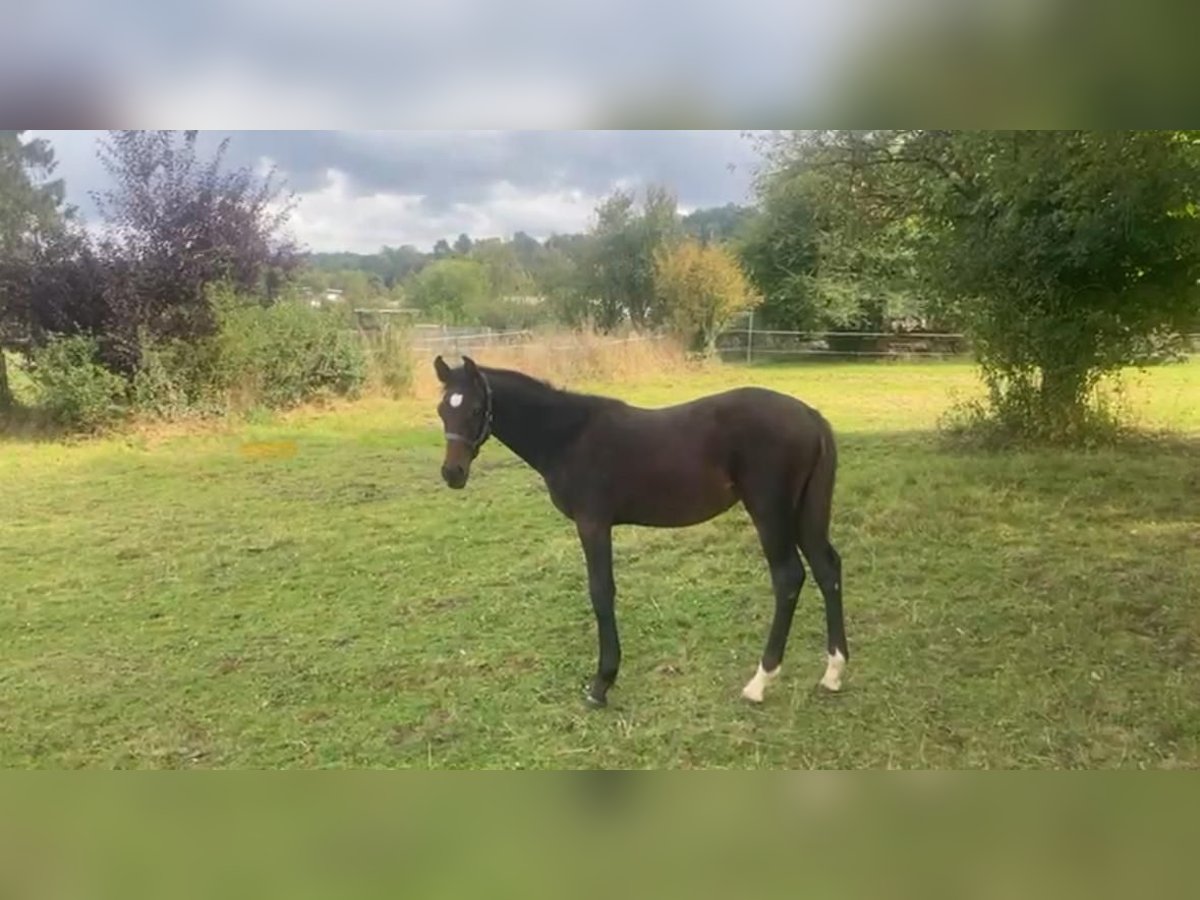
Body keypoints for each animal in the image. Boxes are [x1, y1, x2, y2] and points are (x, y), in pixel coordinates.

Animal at [432, 355, 844, 710]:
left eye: (475, 409)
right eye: (442, 410)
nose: (453, 473)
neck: (570, 436)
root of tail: (811, 416)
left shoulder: (593, 523)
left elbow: (601, 592)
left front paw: (601, 684)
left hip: (770, 511)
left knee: (788, 577)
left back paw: (760, 682)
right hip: (804, 513)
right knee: (827, 568)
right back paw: (834, 672)